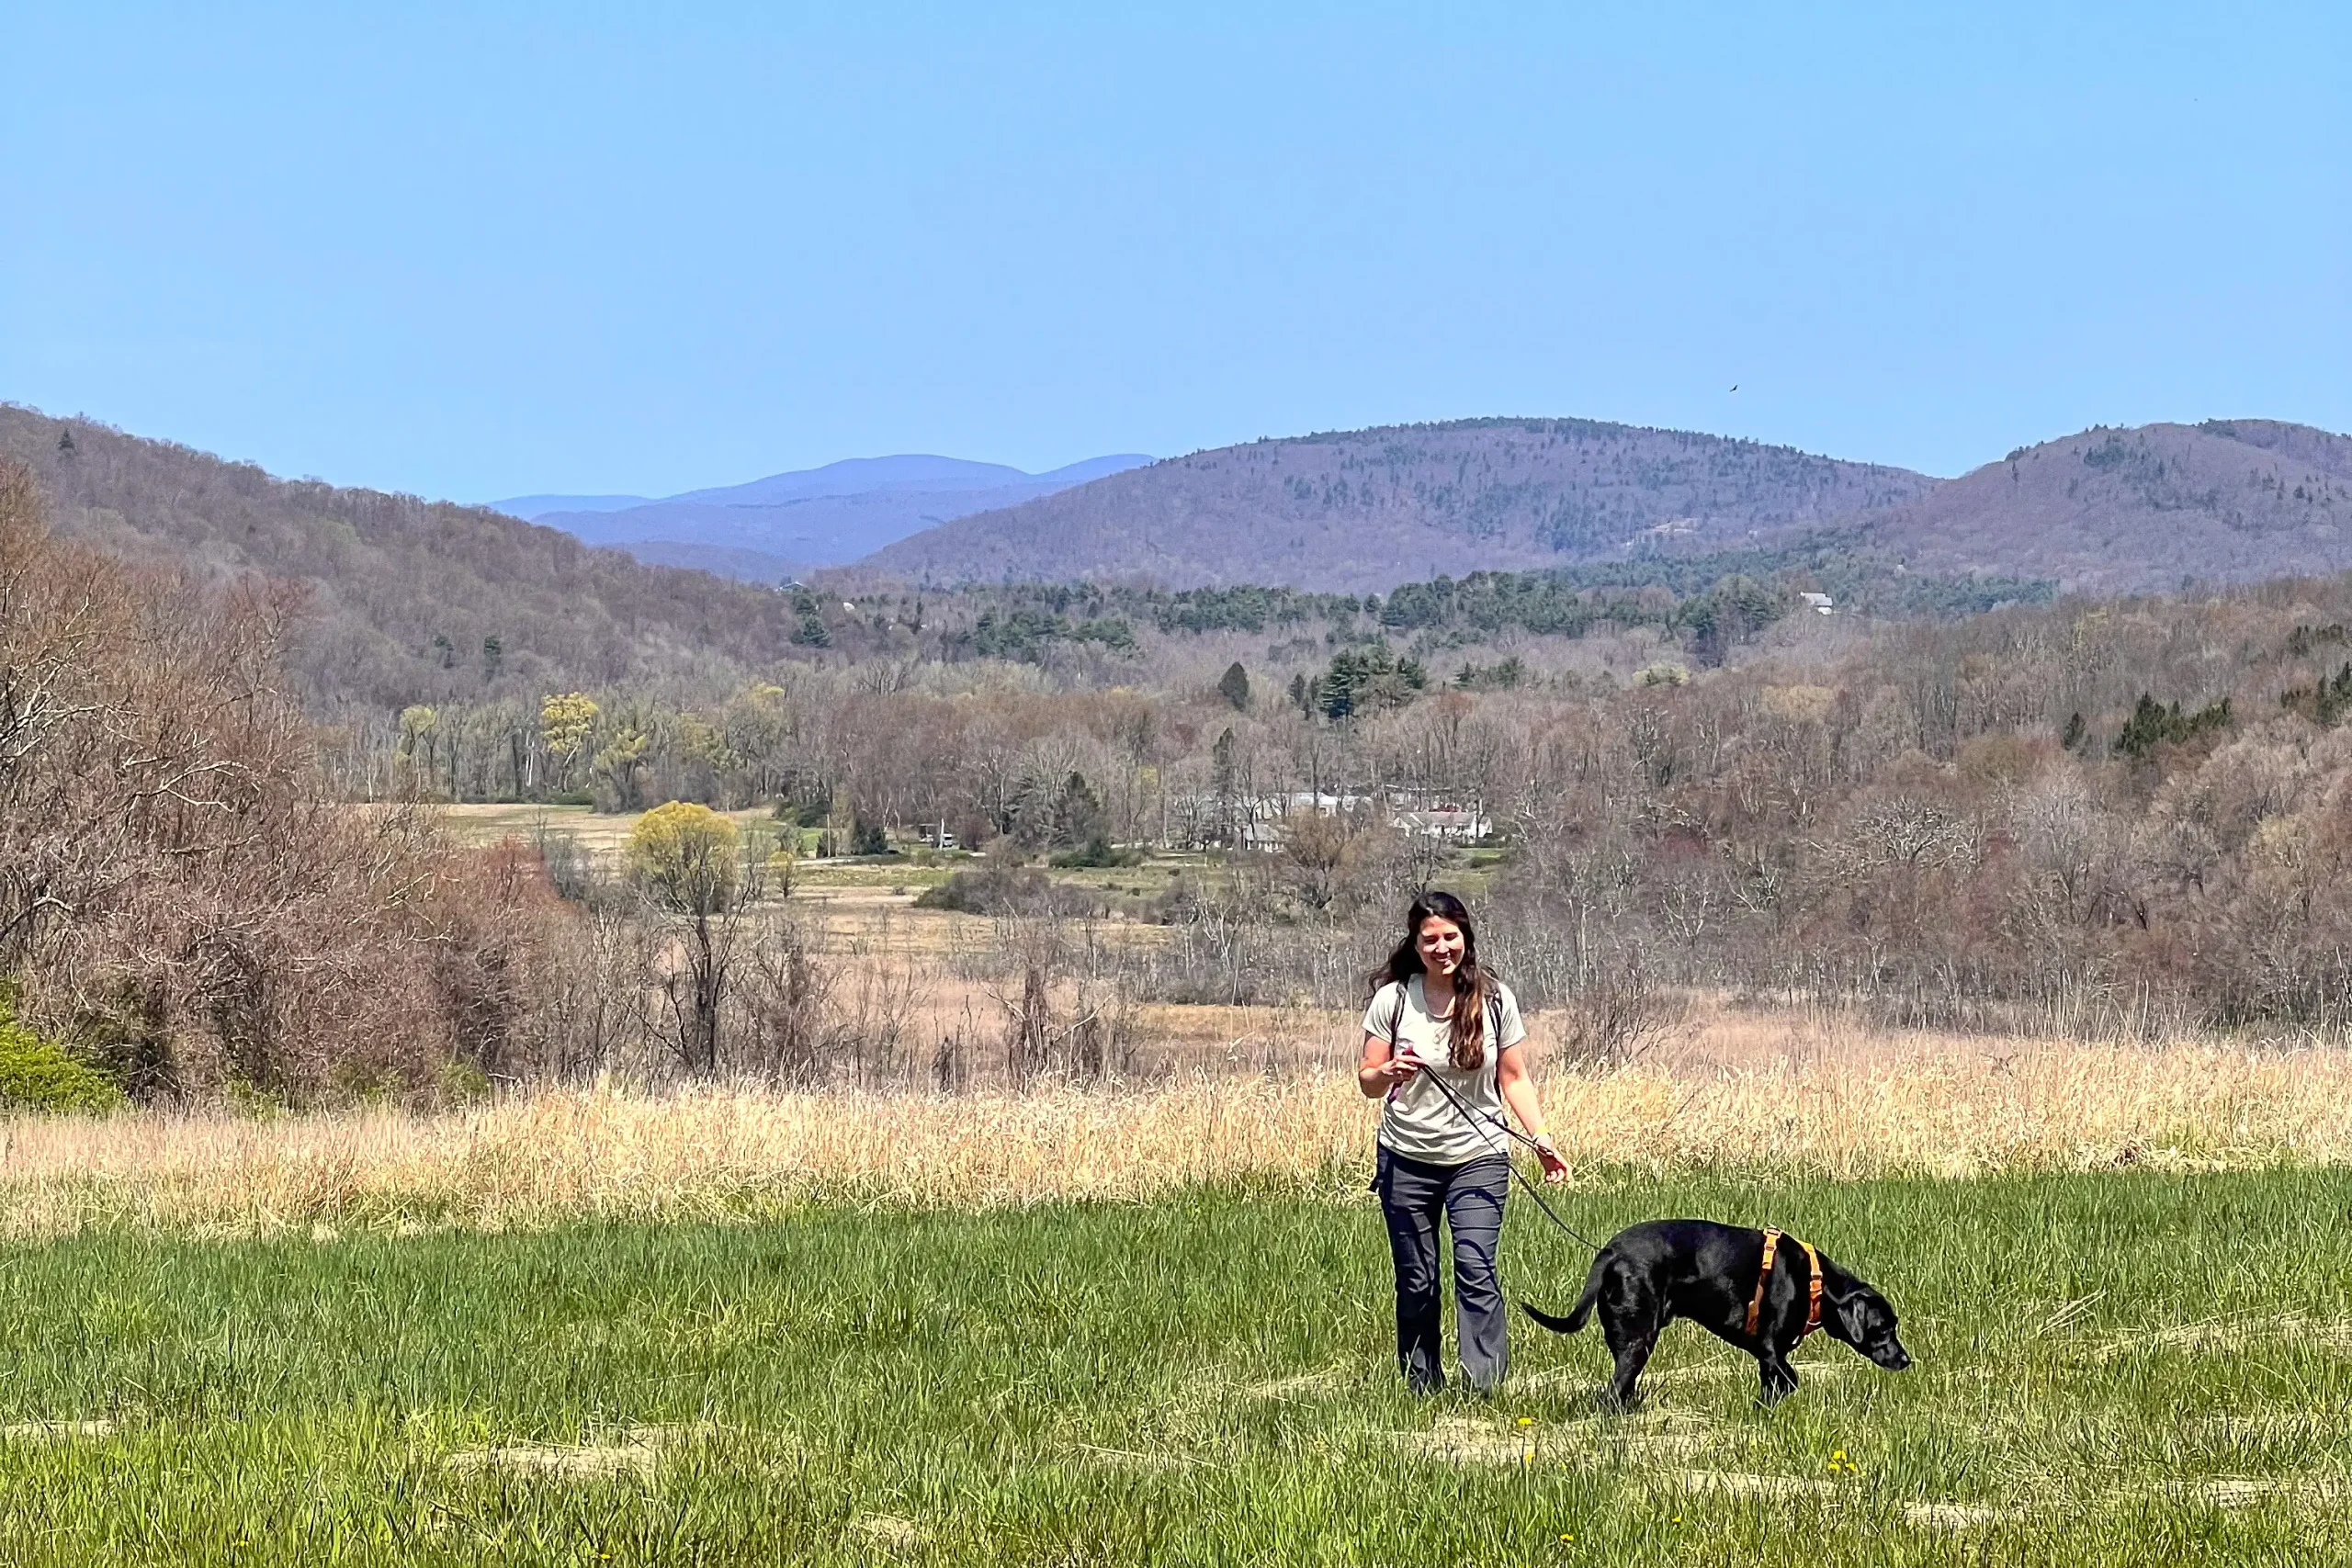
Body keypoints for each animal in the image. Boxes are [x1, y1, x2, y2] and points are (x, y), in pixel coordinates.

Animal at [1523, 1213, 1909, 1410]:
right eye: (1883, 1328)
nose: (1906, 1359)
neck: (1815, 1281)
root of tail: (1610, 1251)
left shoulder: (1767, 1358)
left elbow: (1773, 1386)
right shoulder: (1771, 1349)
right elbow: (1790, 1379)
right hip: (1639, 1339)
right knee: (1612, 1393)